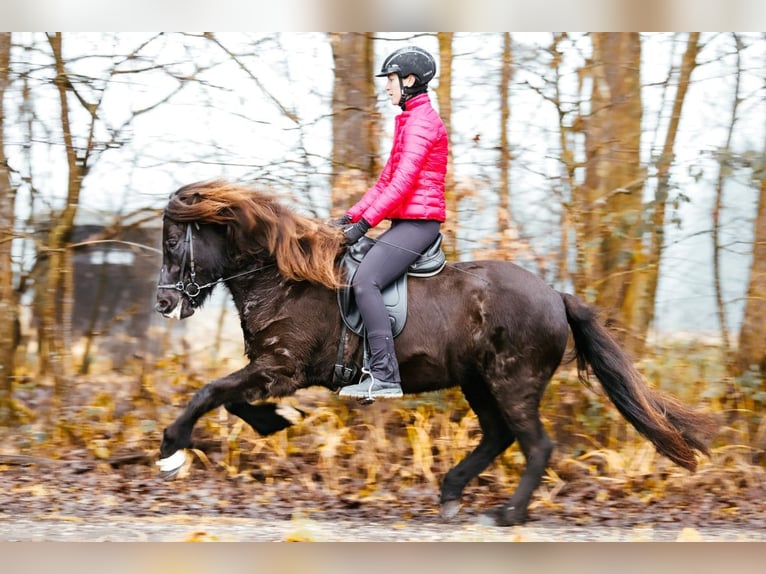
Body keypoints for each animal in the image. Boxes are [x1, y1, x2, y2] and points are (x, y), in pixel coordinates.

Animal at [154, 180, 719, 526]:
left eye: (173, 242)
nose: (163, 302)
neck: (284, 278)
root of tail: (555, 296)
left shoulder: (281, 367)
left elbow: (211, 392)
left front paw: (172, 450)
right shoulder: (272, 370)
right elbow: (230, 397)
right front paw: (276, 422)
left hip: (513, 382)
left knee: (536, 445)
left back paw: (506, 514)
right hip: (477, 382)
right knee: (497, 437)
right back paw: (451, 494)